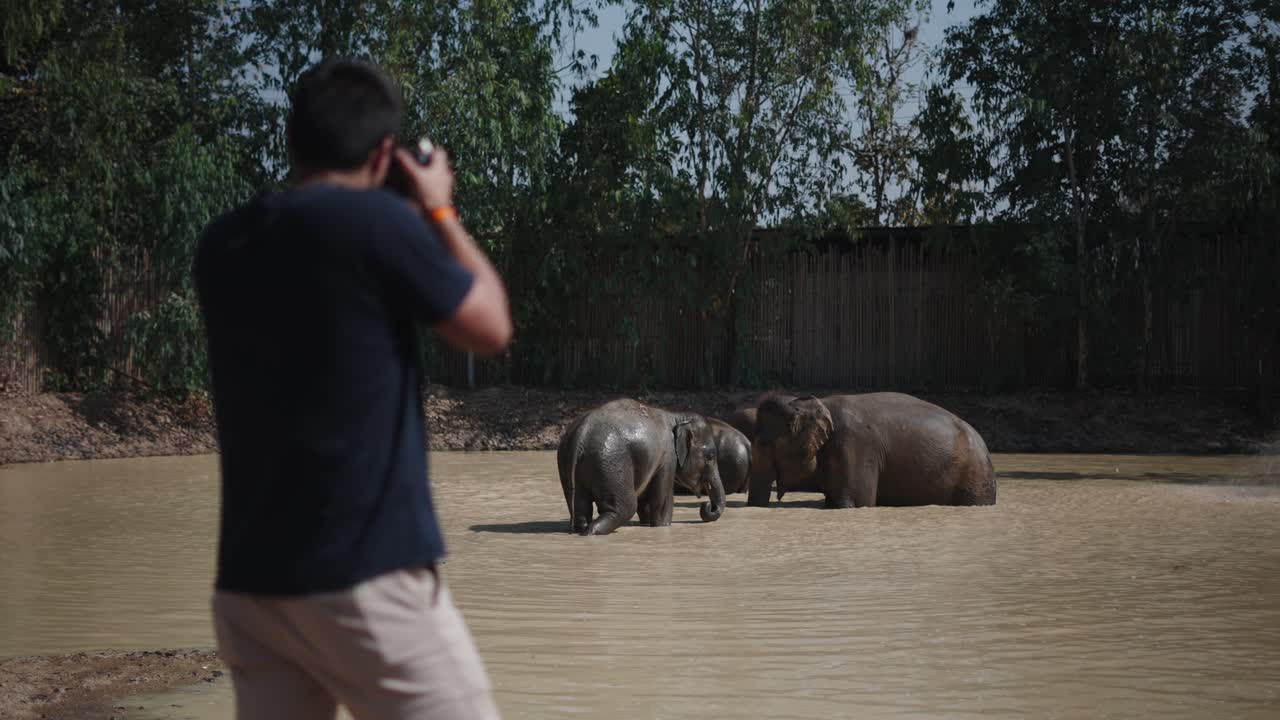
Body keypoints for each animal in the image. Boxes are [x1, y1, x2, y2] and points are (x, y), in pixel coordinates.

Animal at [558, 399, 726, 535]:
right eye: (711, 456)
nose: (707, 505)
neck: (676, 416)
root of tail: (580, 435)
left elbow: (646, 496)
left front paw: (646, 523)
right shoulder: (667, 456)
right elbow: (661, 499)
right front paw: (663, 526)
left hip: (568, 464)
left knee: (579, 508)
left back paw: (582, 529)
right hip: (611, 464)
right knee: (625, 507)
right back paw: (591, 532)